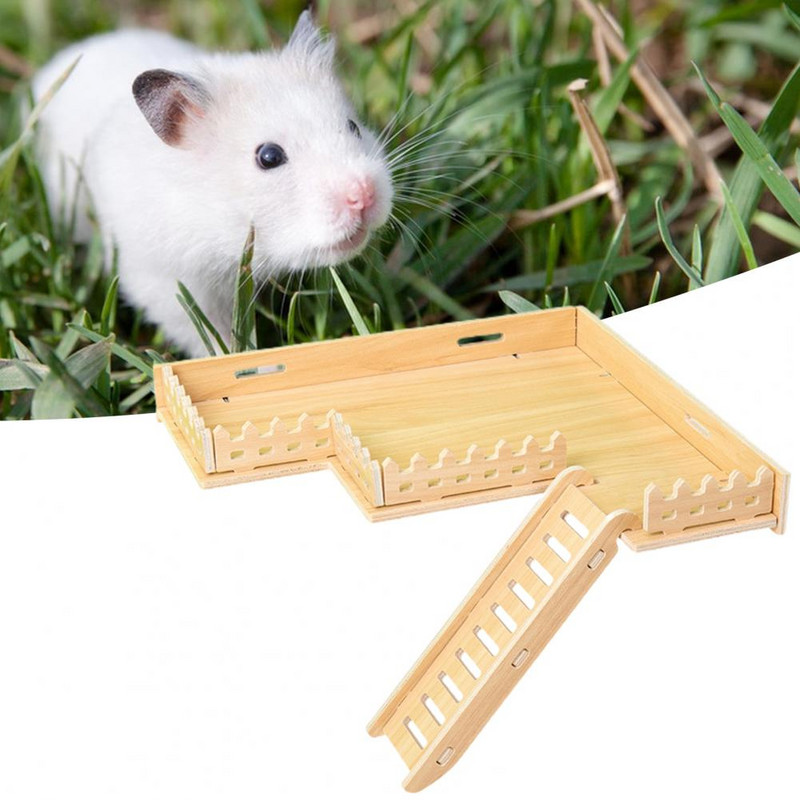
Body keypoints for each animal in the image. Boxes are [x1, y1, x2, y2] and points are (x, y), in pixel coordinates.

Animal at [31, 11, 393, 358]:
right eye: (269, 156)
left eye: (353, 127)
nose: (364, 195)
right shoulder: (166, 280)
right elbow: (206, 331)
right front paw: (236, 357)